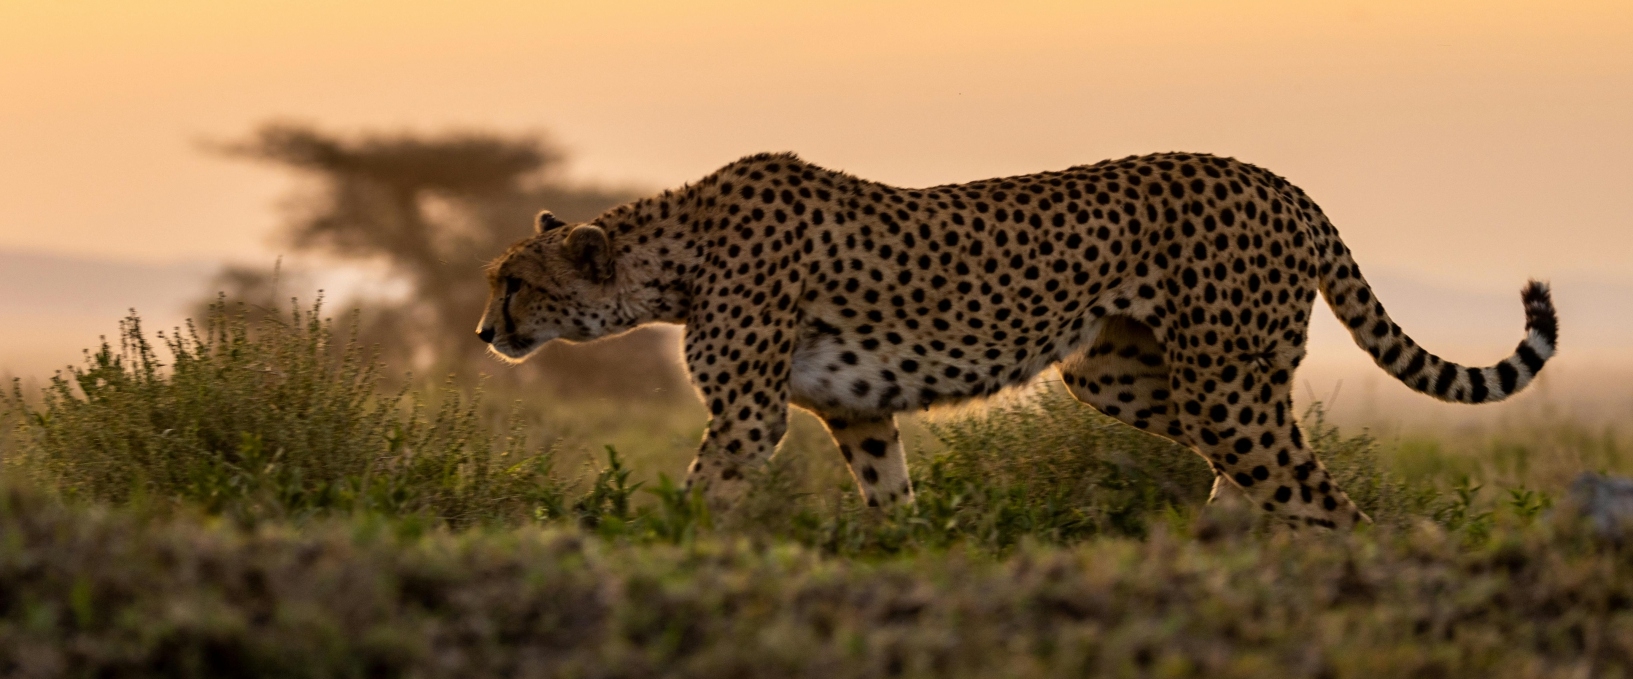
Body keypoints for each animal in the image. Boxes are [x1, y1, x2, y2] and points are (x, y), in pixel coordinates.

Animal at [476, 151, 1558, 530]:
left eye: (515, 283)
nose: (485, 331)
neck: (674, 255)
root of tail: (1277, 179)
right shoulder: (855, 412)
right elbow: (891, 501)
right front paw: (906, 560)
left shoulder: (748, 415)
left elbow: (698, 493)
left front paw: (641, 545)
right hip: (1122, 373)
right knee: (1265, 469)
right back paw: (1216, 548)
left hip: (1218, 382)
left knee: (1322, 497)